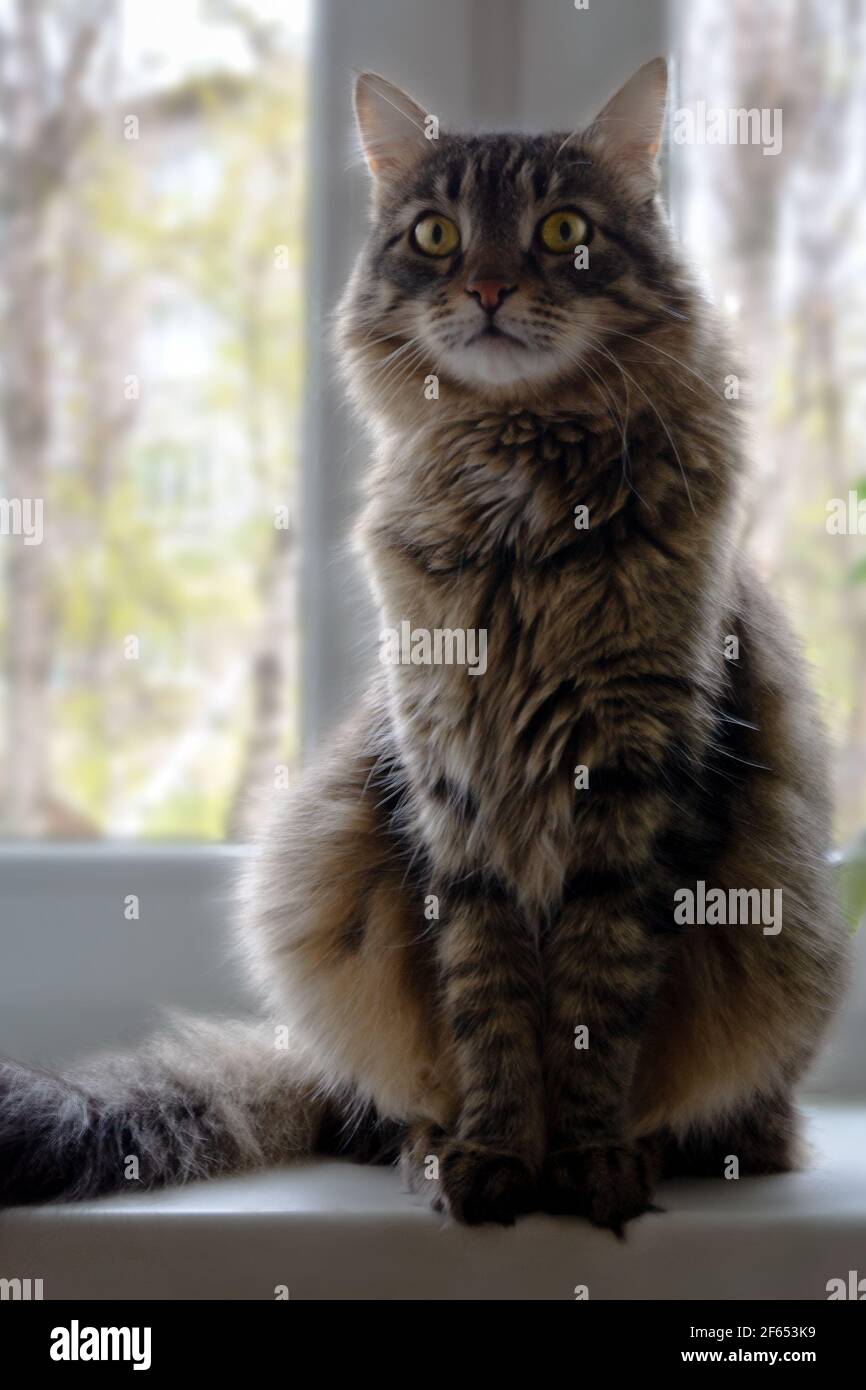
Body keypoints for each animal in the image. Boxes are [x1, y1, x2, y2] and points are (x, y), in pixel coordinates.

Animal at [0, 59, 850, 1234]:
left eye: (562, 229)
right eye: (438, 237)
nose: (487, 289)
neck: (519, 502)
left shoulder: (636, 776)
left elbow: (596, 1004)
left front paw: (588, 1161)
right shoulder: (450, 780)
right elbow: (489, 1004)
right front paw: (492, 1157)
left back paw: (694, 1143)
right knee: (381, 1102)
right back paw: (422, 1145)